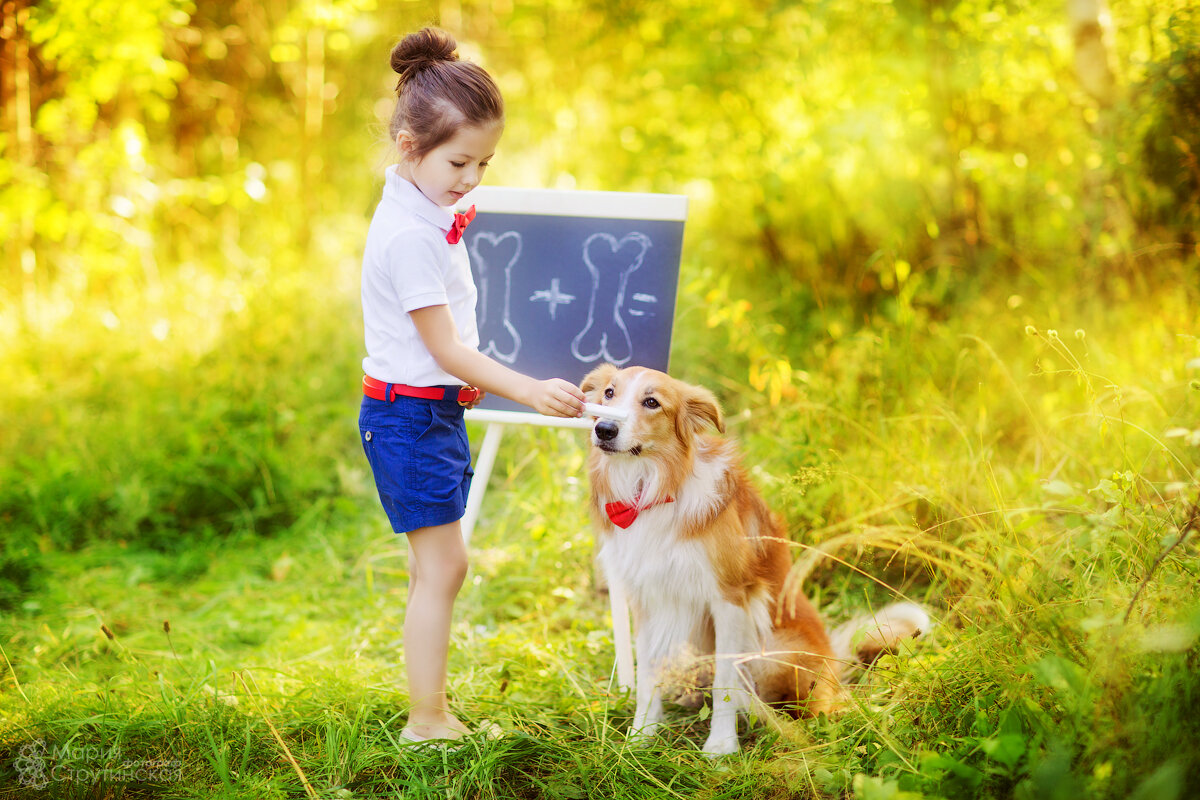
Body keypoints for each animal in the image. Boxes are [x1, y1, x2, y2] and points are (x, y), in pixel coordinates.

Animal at [580, 367, 926, 753]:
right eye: (609, 393)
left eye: (652, 402)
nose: (604, 429)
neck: (653, 486)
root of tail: (833, 661)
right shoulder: (646, 598)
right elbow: (647, 676)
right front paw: (642, 735)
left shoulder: (730, 597)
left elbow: (726, 684)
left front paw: (720, 745)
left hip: (773, 653)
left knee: (815, 705)